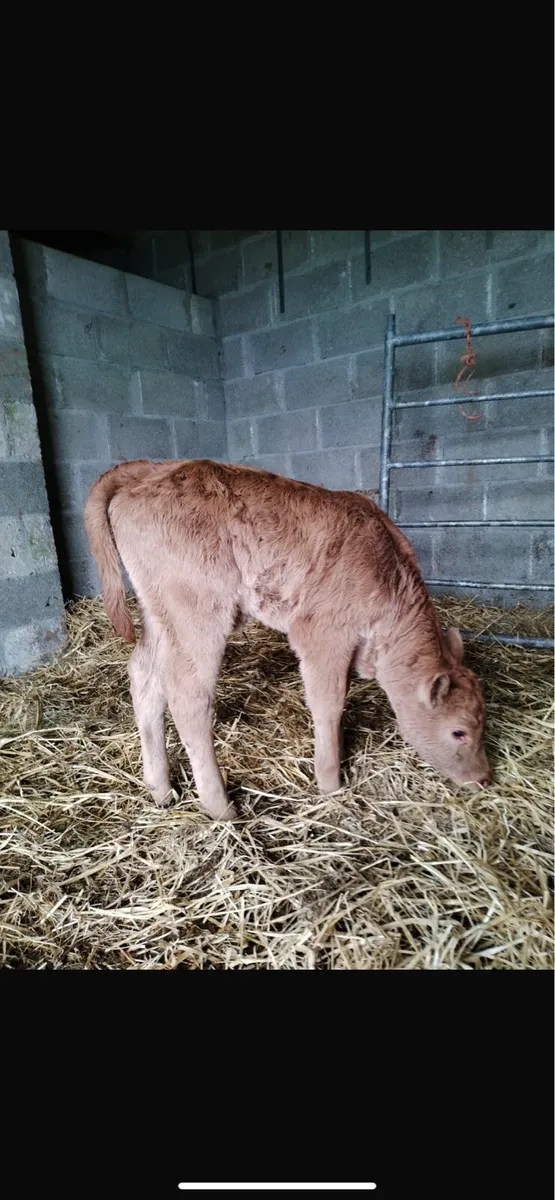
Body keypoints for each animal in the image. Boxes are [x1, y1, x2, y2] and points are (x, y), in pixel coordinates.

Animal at [84, 458, 491, 820]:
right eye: (458, 732)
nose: (484, 778)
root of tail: (153, 468)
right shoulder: (323, 633)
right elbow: (329, 705)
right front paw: (330, 783)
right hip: (197, 612)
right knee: (188, 695)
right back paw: (221, 808)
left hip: (159, 613)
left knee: (145, 676)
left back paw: (161, 789)